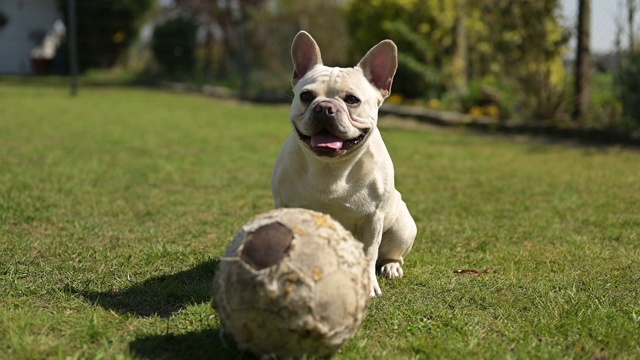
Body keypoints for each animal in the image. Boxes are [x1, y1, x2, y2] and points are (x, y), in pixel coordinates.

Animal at [268, 31, 416, 296]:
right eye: (306, 96)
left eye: (352, 100)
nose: (325, 107)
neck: (330, 167)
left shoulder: (373, 219)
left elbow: (370, 252)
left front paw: (368, 285)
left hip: (401, 228)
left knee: (391, 254)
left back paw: (391, 267)